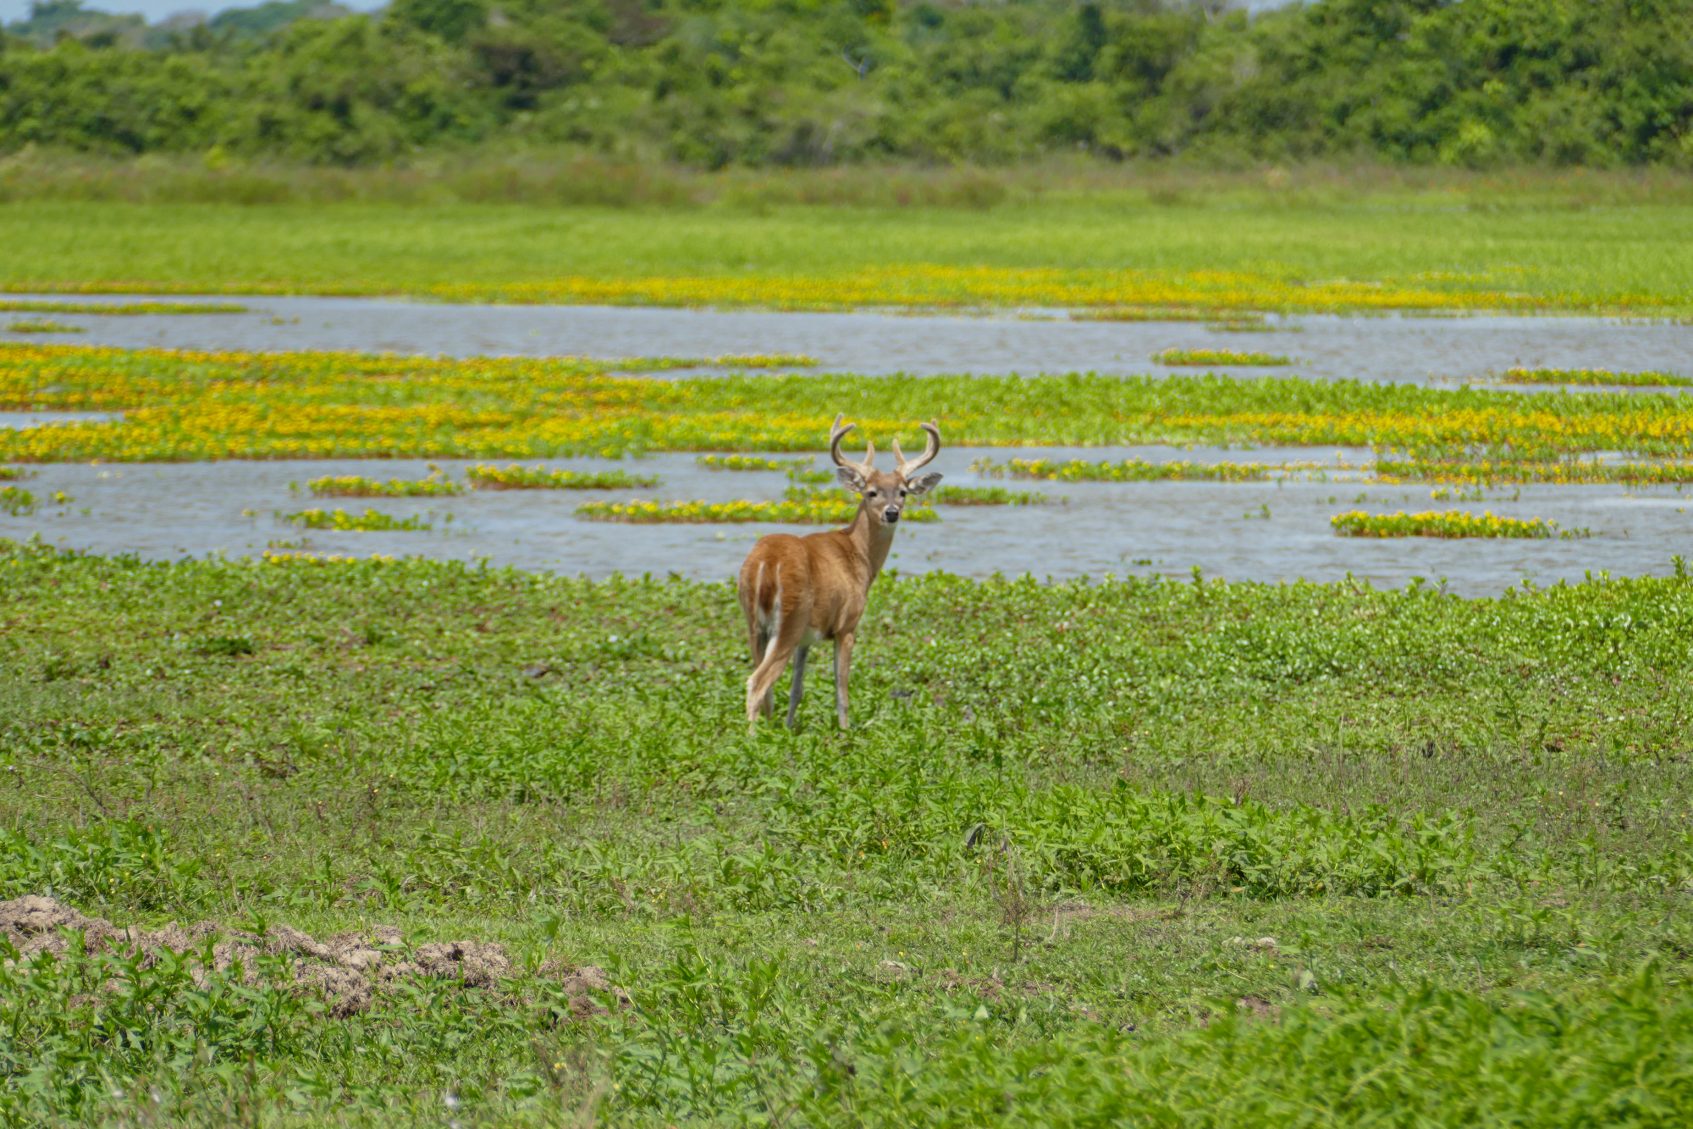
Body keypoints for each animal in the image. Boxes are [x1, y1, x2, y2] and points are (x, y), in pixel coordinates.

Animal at [738, 418, 948, 734]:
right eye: (871, 492)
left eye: (902, 491)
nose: (892, 513)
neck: (858, 556)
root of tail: (766, 562)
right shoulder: (847, 624)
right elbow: (842, 689)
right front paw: (845, 731)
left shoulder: (807, 637)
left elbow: (797, 689)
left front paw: (789, 728)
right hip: (789, 618)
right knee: (757, 682)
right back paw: (751, 739)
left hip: (755, 623)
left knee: (764, 683)